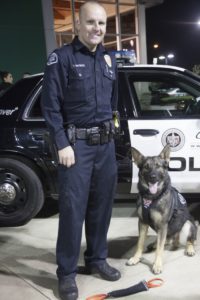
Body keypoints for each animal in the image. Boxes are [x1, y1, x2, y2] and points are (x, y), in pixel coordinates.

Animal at [126, 145, 197, 274]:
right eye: (146, 167)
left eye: (158, 166)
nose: (153, 177)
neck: (151, 197)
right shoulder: (142, 223)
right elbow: (140, 243)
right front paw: (136, 258)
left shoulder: (163, 224)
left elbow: (160, 249)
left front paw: (157, 265)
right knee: (165, 240)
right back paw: (154, 244)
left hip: (188, 224)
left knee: (189, 240)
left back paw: (189, 249)